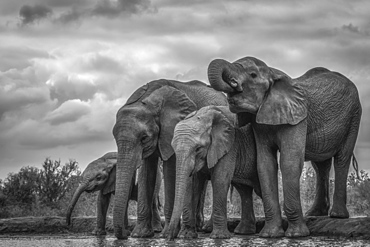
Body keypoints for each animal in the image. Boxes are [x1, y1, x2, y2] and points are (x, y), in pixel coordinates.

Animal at [112, 79, 228, 239]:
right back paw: (198, 228)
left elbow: (170, 171)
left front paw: (166, 234)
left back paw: (205, 229)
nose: (125, 233)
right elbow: (146, 172)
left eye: (144, 138)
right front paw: (140, 235)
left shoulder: (173, 129)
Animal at [169, 106, 262, 239]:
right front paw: (187, 236)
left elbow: (220, 179)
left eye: (198, 149)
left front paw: (219, 237)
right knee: (243, 190)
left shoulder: (229, 144)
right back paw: (243, 232)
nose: (169, 238)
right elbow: (193, 183)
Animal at [208, 55, 362, 237]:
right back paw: (315, 213)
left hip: (354, 116)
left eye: (252, 75)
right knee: (320, 165)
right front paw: (270, 235)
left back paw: (337, 215)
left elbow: (289, 163)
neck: (273, 73)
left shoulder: (298, 117)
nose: (233, 83)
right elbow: (265, 165)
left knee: (342, 159)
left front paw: (296, 235)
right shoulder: (259, 123)